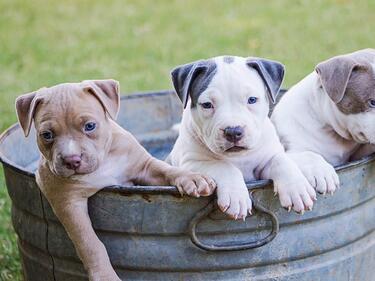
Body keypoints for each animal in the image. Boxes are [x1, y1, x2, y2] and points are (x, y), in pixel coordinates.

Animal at [14, 79, 216, 280]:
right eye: (47, 135)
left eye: (90, 126)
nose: (72, 160)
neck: (103, 162)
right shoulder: (68, 202)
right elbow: (89, 243)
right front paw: (104, 275)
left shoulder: (145, 167)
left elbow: (167, 170)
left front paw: (193, 179)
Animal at [167, 54, 318, 217]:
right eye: (207, 105)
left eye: (252, 100)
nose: (233, 131)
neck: (238, 157)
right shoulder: (191, 163)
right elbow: (224, 166)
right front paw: (236, 197)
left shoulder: (266, 161)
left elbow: (280, 160)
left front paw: (297, 188)